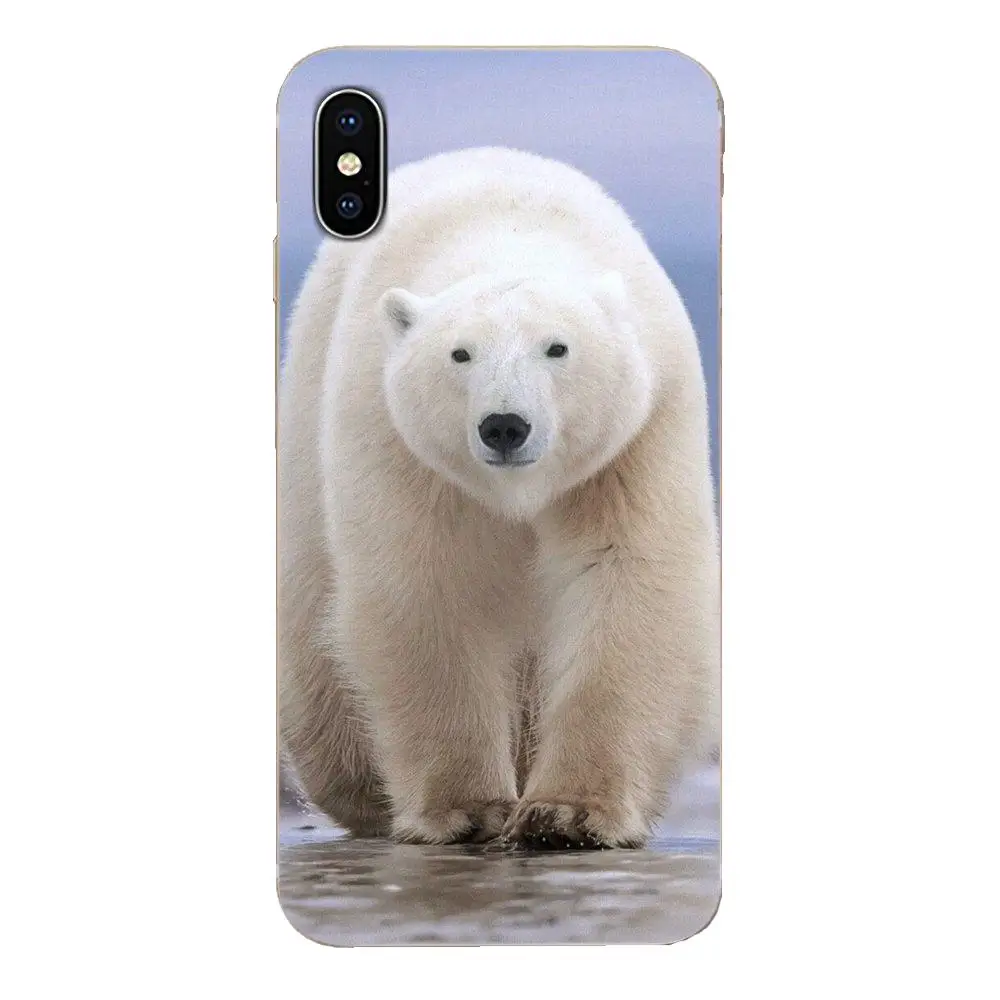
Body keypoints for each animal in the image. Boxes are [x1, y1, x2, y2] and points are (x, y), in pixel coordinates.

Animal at [278, 147, 719, 848]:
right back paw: (360, 790)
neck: (507, 229)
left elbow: (626, 577)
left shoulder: (638, 434)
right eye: (460, 354)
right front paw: (468, 809)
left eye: (558, 347)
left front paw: (567, 813)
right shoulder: (396, 434)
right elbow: (428, 585)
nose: (505, 425)